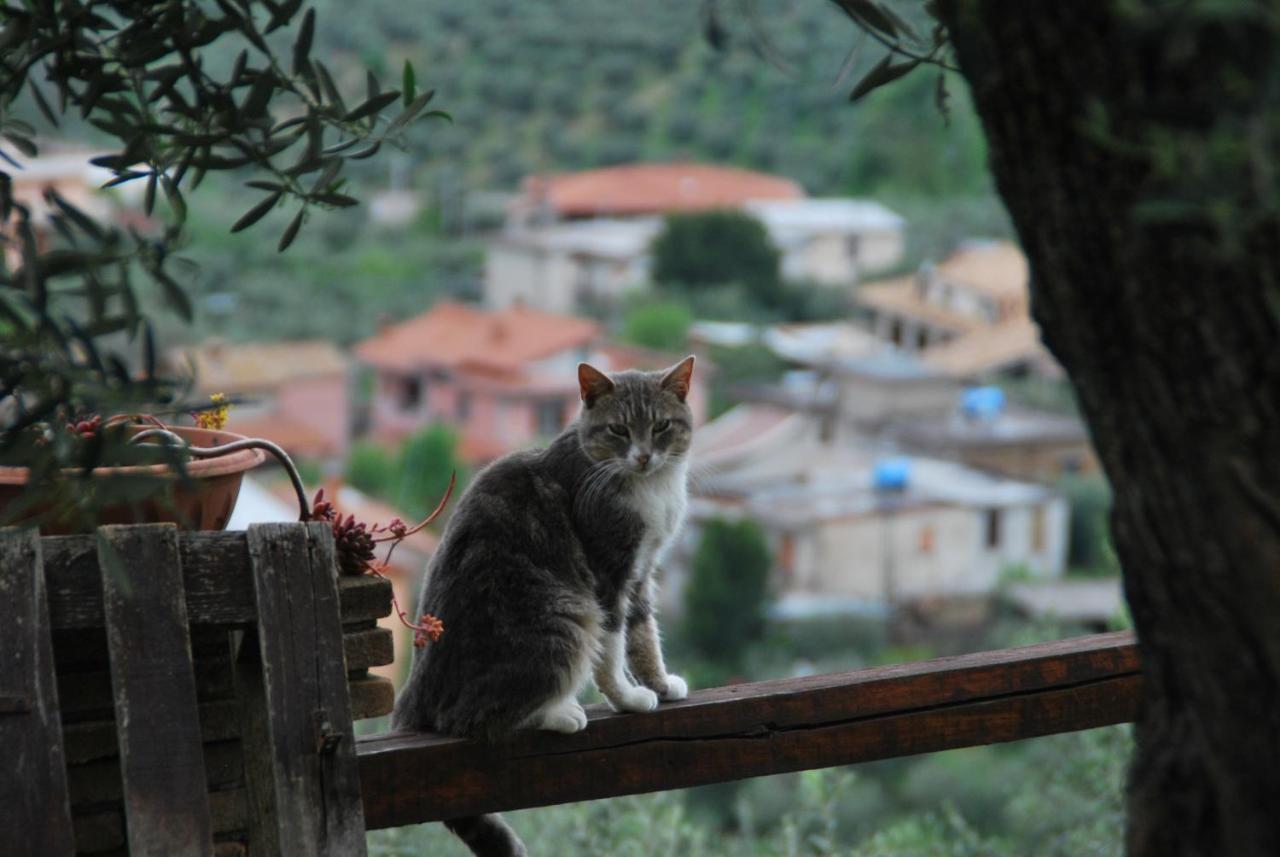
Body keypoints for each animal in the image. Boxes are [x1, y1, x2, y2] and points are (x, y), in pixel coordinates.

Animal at [394, 358, 696, 857]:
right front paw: (628, 698)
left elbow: (643, 634)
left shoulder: (641, 571)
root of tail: (412, 701)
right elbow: (613, 645)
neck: (648, 487)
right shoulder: (608, 572)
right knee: (475, 720)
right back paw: (561, 712)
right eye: (617, 429)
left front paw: (659, 682)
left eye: (661, 426)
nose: (643, 456)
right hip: (563, 618)